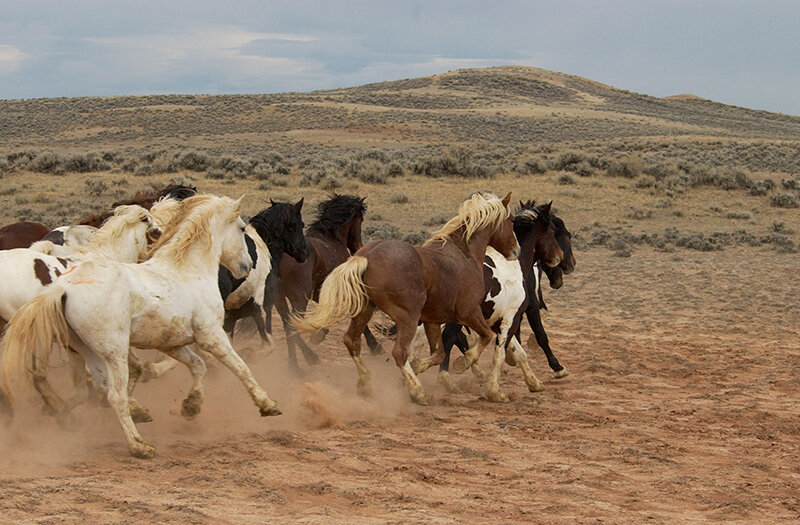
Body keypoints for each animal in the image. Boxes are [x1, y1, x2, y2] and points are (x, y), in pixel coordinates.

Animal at [0, 193, 282, 458]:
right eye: (242, 228)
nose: (248, 266)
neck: (187, 270)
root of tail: (62, 289)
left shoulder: (172, 343)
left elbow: (197, 366)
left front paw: (191, 406)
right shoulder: (211, 335)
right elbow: (240, 366)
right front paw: (267, 404)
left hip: (84, 350)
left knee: (92, 386)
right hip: (111, 351)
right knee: (113, 395)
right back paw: (139, 445)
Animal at [290, 190, 520, 404]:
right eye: (510, 220)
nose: (516, 250)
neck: (465, 255)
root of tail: (366, 257)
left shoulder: (432, 320)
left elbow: (439, 353)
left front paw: (419, 366)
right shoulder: (469, 312)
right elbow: (485, 337)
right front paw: (462, 364)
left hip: (365, 310)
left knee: (352, 341)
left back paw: (365, 384)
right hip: (407, 317)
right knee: (399, 353)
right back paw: (417, 392)